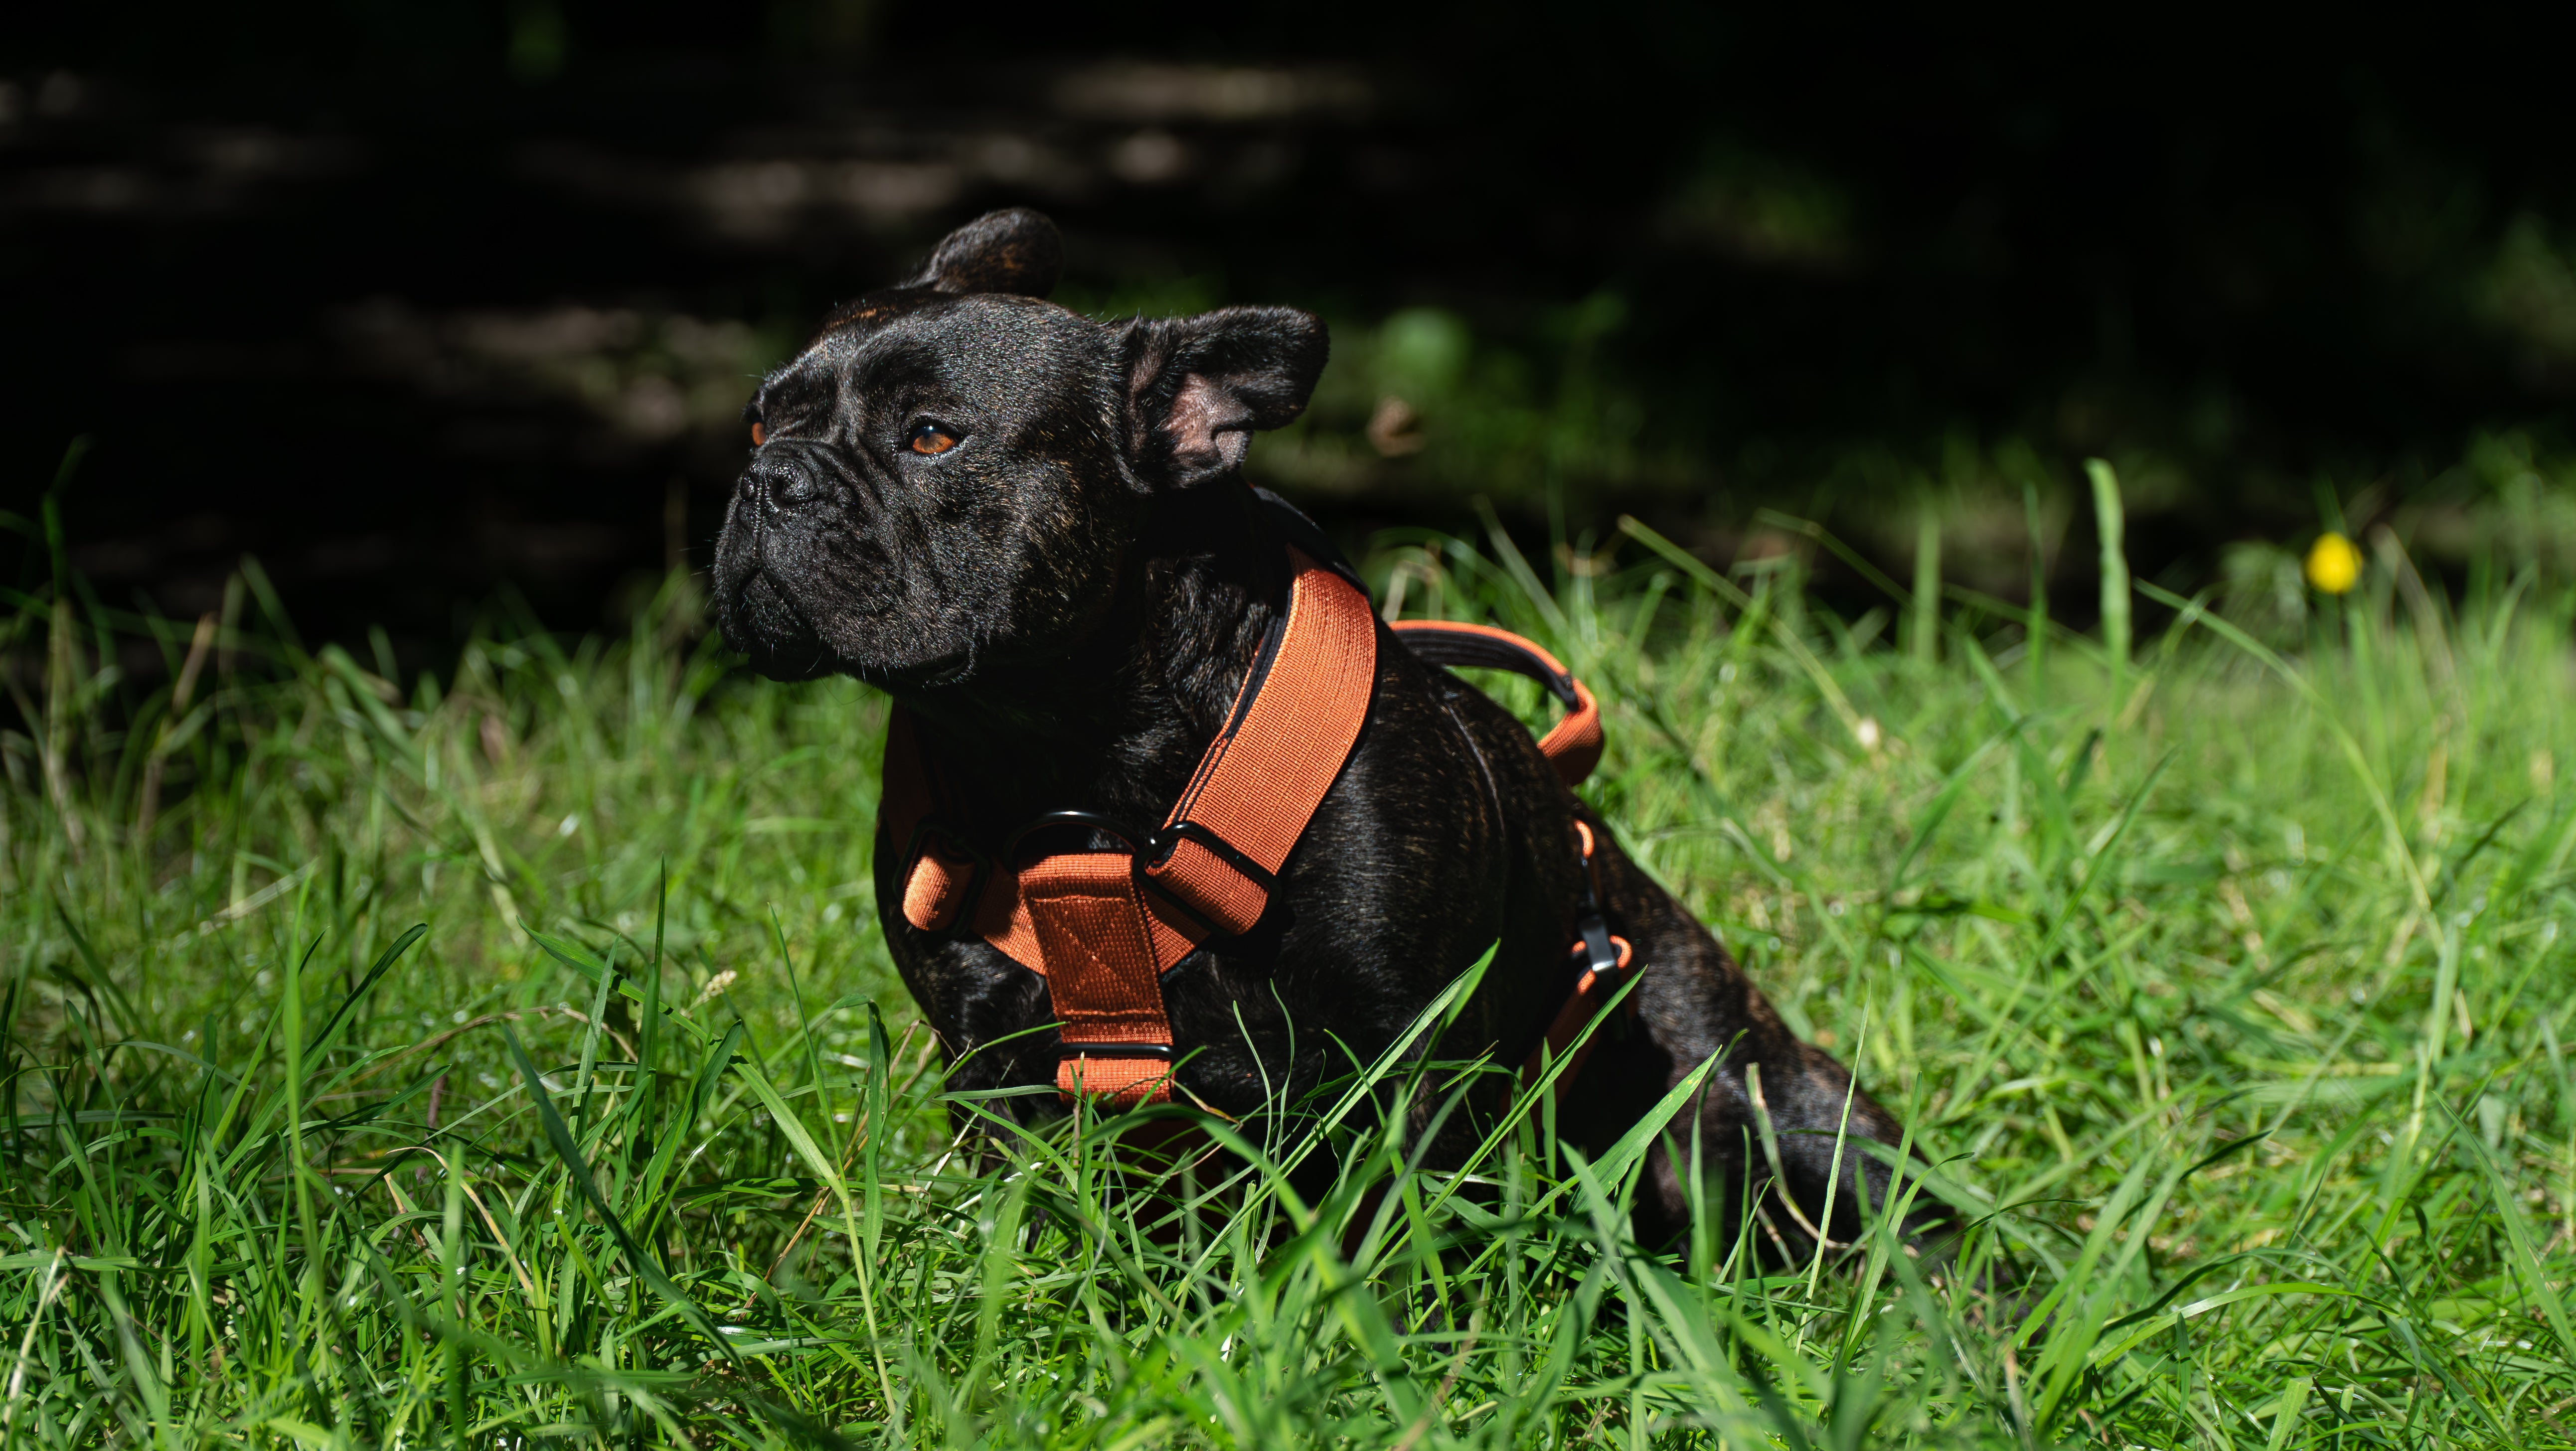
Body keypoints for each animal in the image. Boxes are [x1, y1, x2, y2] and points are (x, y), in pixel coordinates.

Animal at [716, 210, 1937, 1252]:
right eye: (761, 420)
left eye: (931, 436)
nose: (769, 476)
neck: (1065, 752)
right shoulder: (990, 1062)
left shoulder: (1399, 1062)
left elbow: (1373, 1234)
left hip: (1777, 1103)